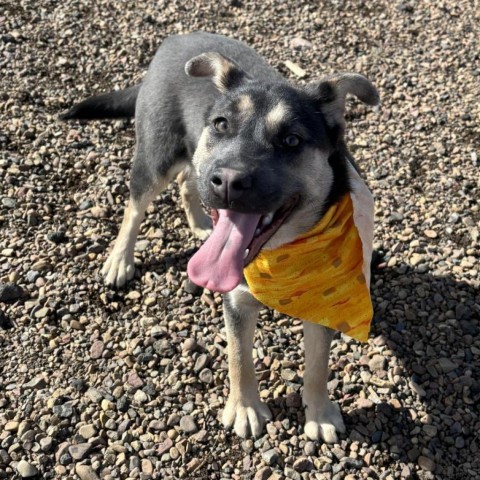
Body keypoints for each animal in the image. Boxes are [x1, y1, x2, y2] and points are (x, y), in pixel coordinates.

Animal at [62, 31, 380, 442]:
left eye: (292, 140)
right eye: (221, 124)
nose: (227, 180)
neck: (280, 254)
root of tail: (177, 37)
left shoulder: (324, 303)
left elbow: (317, 365)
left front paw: (320, 413)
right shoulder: (236, 300)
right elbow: (239, 357)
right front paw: (244, 409)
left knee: (188, 181)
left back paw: (200, 222)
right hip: (157, 156)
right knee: (136, 206)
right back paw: (120, 260)